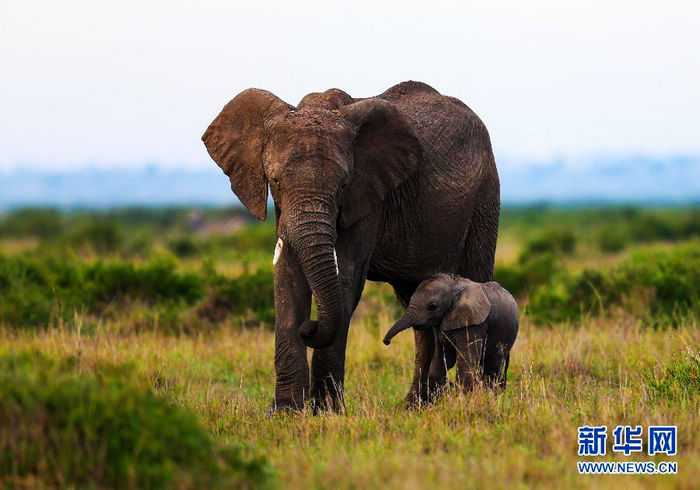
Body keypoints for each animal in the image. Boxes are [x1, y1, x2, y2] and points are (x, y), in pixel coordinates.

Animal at [200, 82, 500, 412]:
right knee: (419, 306)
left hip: (485, 196)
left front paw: (326, 410)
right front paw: (285, 412)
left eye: (343, 185)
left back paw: (471, 397)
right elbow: (287, 276)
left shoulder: (369, 195)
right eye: (276, 181)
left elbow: (346, 276)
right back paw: (417, 405)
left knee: (474, 282)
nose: (310, 327)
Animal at [382, 272, 520, 402]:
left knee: (492, 366)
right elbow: (442, 360)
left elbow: (465, 363)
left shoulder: (474, 324)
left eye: (432, 306)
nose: (386, 342)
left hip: (506, 334)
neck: (456, 287)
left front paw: (463, 401)